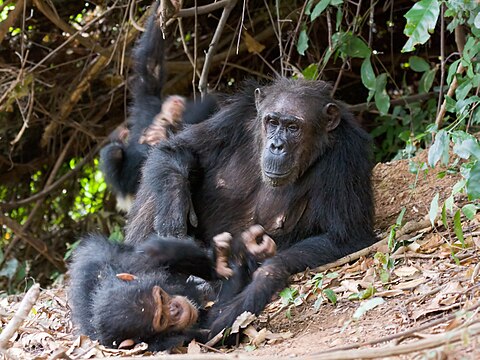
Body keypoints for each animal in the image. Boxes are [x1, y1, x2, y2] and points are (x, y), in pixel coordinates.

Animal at [124, 76, 378, 338]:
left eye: (293, 127)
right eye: (272, 122)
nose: (277, 145)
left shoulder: (347, 155)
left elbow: (344, 236)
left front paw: (267, 274)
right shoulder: (234, 117)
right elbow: (176, 149)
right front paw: (173, 217)